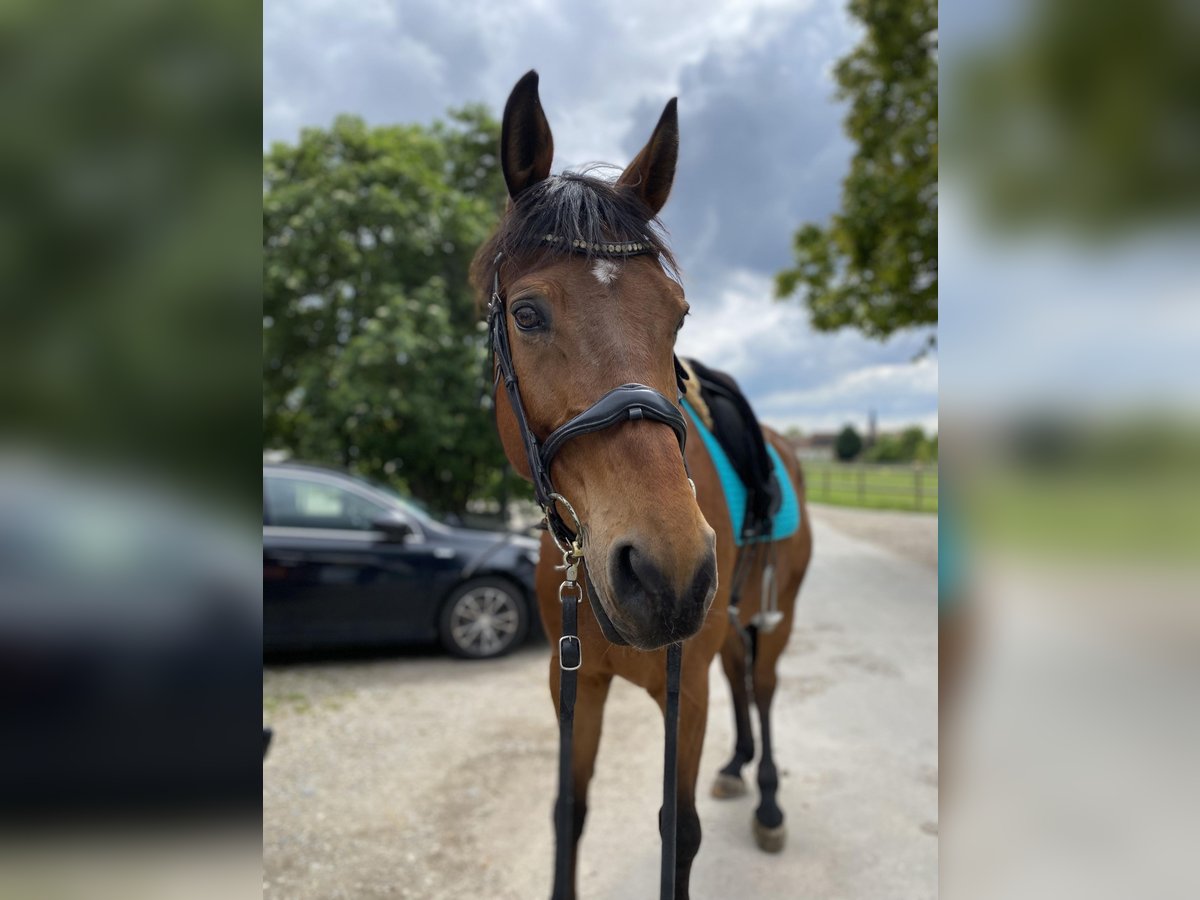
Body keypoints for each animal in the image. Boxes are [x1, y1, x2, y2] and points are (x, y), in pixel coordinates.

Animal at [470, 72, 816, 900]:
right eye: (527, 313)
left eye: (677, 316)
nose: (668, 572)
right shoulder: (575, 683)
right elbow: (568, 813)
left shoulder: (681, 692)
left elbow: (678, 833)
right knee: (742, 676)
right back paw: (737, 765)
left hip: (776, 616)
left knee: (763, 684)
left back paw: (767, 800)